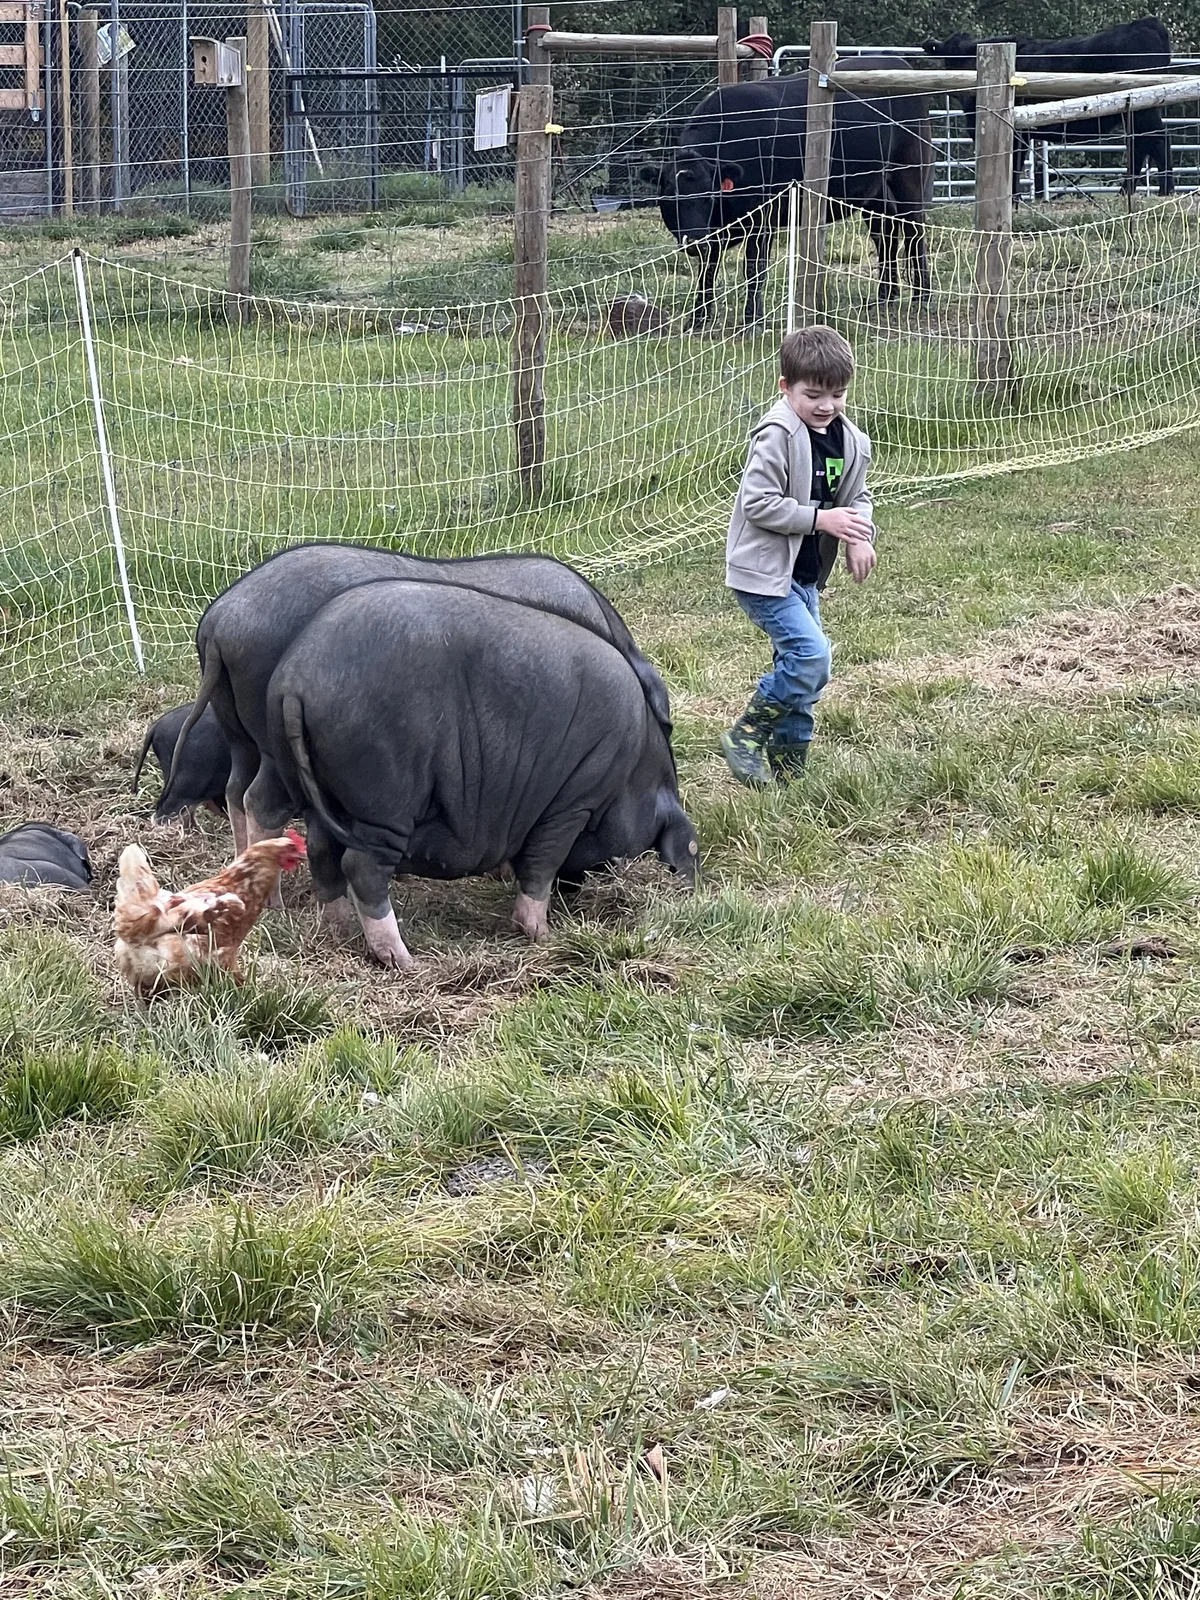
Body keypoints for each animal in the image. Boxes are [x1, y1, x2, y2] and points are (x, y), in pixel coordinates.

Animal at [259, 581, 698, 969]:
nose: (691, 891)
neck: (636, 777)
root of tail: (296, 680)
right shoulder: (575, 801)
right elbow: (543, 863)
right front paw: (542, 935)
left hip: (313, 786)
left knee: (321, 852)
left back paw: (340, 929)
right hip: (385, 795)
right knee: (362, 867)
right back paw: (405, 961)